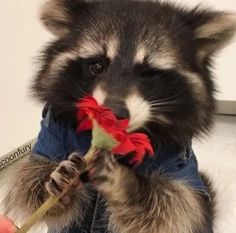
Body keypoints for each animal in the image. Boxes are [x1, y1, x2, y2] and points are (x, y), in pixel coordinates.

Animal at [2, 0, 236, 233]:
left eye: (148, 73)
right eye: (97, 65)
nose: (113, 114)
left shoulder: (179, 161)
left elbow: (179, 205)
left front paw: (128, 183)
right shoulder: (52, 131)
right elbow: (30, 179)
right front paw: (55, 182)